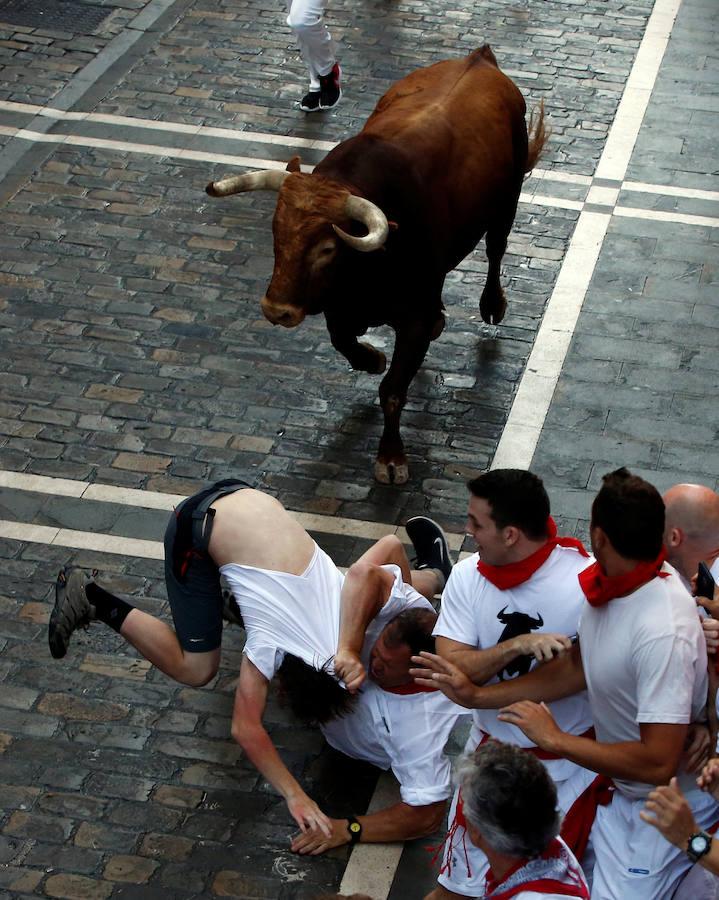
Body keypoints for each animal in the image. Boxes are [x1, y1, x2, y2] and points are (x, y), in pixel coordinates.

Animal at [205, 47, 548, 486]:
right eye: (276, 232)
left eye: (326, 249)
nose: (276, 310)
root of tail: (481, 58)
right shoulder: (338, 308)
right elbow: (345, 344)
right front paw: (371, 358)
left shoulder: (413, 316)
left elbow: (393, 390)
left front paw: (391, 458)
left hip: (507, 202)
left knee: (496, 249)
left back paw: (492, 303)